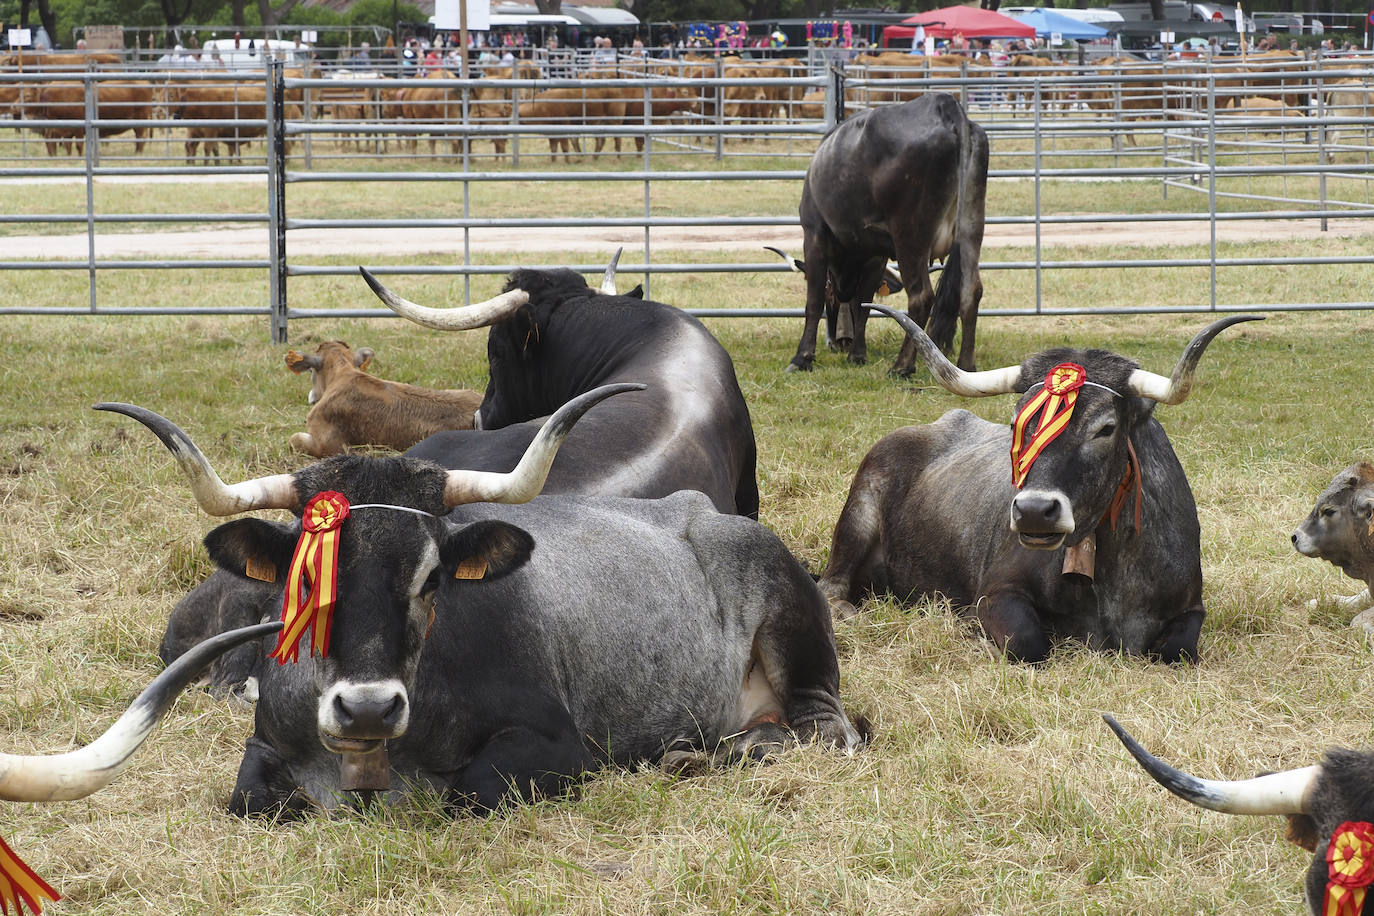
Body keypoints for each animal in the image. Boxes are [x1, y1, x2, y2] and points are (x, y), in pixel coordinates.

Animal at [813, 311, 1258, 661]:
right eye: (1016, 423)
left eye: (1106, 428)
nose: (1033, 512)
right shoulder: (995, 593)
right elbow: (1028, 643)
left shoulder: (1192, 609)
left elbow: (1178, 651)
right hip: (857, 517)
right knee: (831, 585)